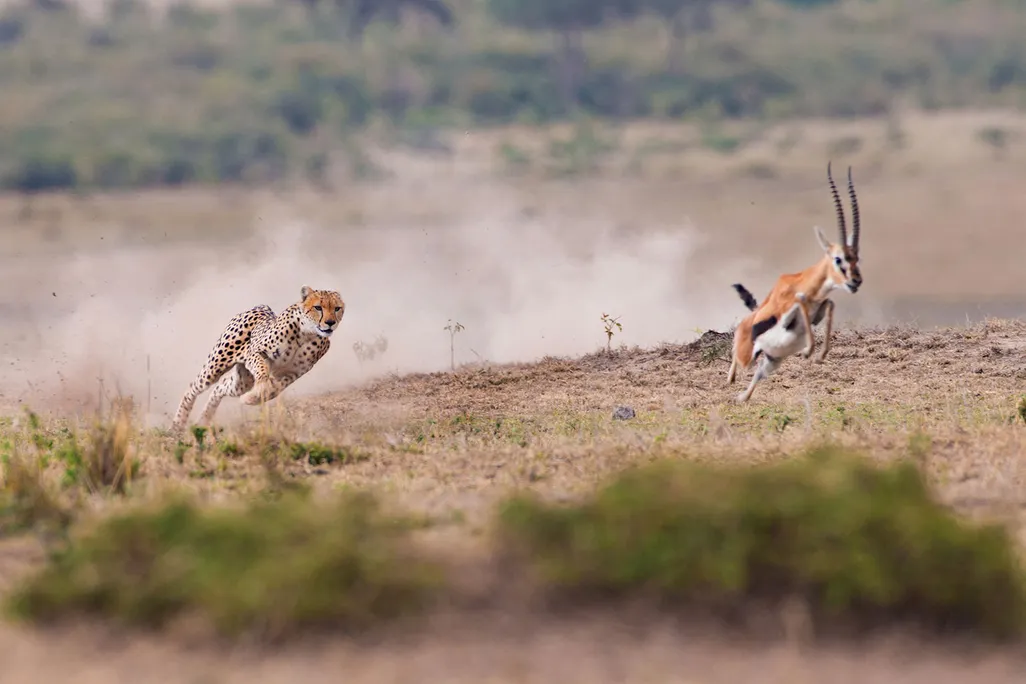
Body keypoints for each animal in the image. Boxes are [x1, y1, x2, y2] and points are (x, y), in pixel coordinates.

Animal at [170, 285, 345, 434]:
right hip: (216, 365)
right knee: (193, 387)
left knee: (220, 387)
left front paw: (252, 398)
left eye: (337, 308)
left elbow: (274, 390)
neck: (307, 334)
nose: (330, 323)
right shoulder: (256, 352)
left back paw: (204, 419)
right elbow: (262, 370)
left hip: (242, 382)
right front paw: (260, 386)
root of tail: (260, 307)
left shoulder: (291, 374)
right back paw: (178, 424)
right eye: (318, 307)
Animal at [726, 161, 863, 403]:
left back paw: (742, 397)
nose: (856, 281)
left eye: (857, 258)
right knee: (738, 354)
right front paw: (808, 351)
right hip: (749, 356)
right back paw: (731, 380)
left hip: (773, 359)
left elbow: (830, 304)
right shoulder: (791, 308)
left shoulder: (820, 308)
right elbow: (800, 300)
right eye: (838, 259)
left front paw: (820, 355)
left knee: (758, 374)